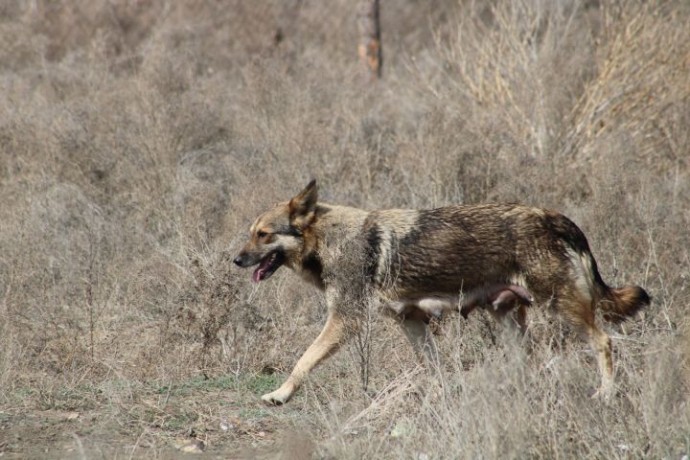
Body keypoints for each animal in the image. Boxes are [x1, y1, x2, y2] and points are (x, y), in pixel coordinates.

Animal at [234, 181, 648, 404]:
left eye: (264, 234)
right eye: (251, 233)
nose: (236, 260)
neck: (330, 240)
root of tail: (559, 219)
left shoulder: (345, 322)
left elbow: (303, 360)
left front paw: (280, 395)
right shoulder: (410, 320)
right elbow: (433, 366)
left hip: (561, 309)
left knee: (605, 341)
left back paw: (606, 394)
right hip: (511, 321)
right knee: (527, 360)